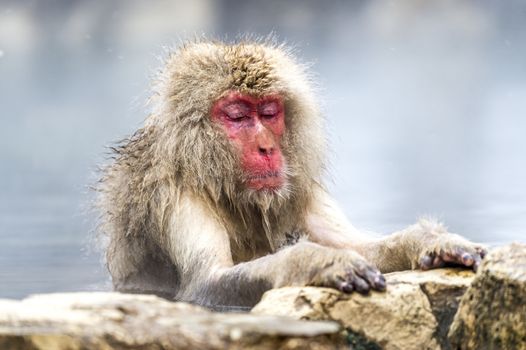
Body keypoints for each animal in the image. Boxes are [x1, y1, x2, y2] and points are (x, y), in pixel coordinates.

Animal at [98, 39, 486, 310]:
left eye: (270, 113)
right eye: (237, 116)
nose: (267, 148)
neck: (223, 185)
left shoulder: (299, 189)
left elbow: (360, 246)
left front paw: (429, 240)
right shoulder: (176, 197)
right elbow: (207, 284)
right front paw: (320, 261)